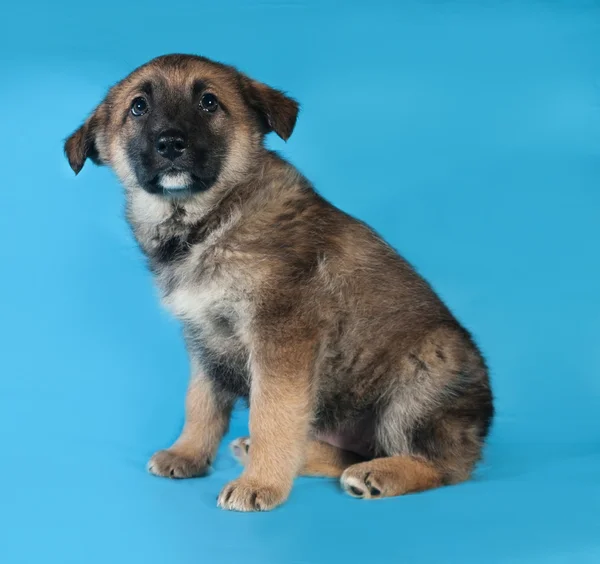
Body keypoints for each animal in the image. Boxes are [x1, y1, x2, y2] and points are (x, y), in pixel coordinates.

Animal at [64, 56, 492, 512]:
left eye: (209, 102)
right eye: (138, 107)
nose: (170, 144)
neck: (211, 220)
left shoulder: (281, 335)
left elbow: (272, 413)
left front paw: (261, 483)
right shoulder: (203, 339)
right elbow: (200, 402)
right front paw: (188, 453)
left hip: (423, 376)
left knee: (444, 467)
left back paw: (381, 474)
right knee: (352, 450)